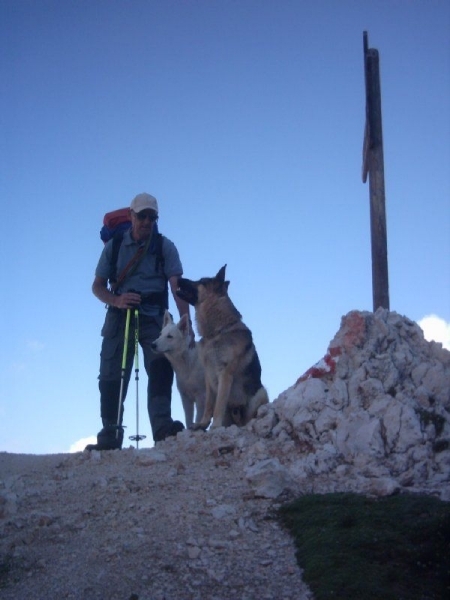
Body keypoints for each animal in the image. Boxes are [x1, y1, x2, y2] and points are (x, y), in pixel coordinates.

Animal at [175, 264, 268, 428]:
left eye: (201, 281)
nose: (178, 279)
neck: (217, 332)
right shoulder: (208, 377)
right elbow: (209, 404)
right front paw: (203, 424)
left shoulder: (224, 374)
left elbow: (218, 404)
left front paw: (215, 426)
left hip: (261, 393)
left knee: (251, 417)